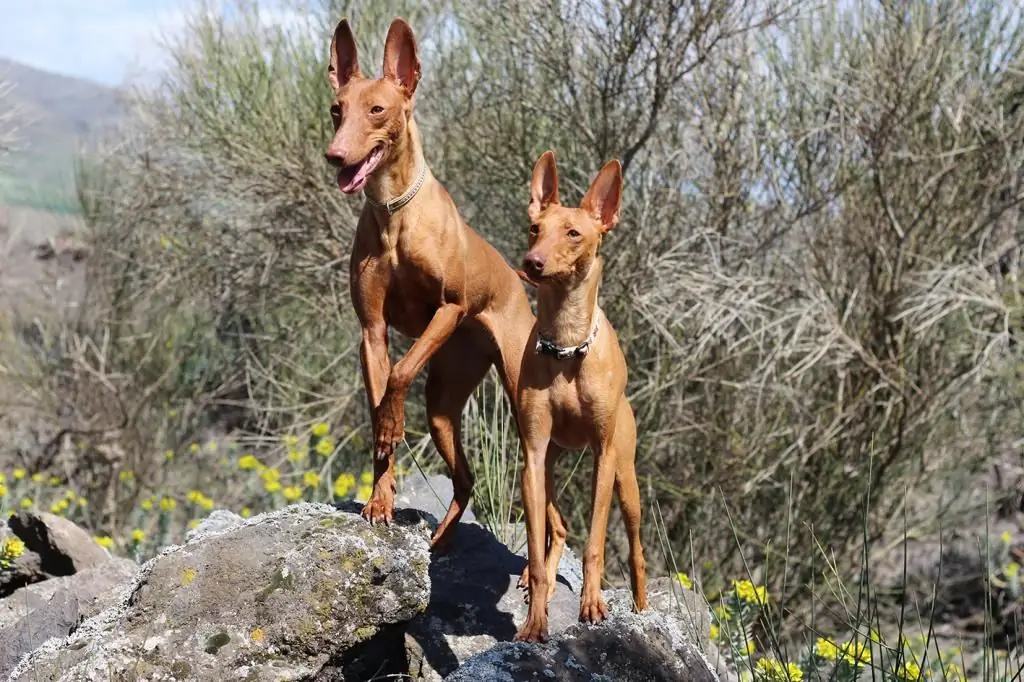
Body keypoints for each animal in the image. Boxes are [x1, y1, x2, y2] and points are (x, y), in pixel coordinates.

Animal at [325, 17, 536, 548]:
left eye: (377, 110)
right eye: (337, 110)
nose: (336, 157)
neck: (394, 212)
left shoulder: (450, 309)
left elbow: (399, 376)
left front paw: (390, 426)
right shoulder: (371, 331)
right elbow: (379, 403)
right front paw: (380, 500)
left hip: (523, 402)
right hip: (443, 403)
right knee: (466, 478)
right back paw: (439, 543)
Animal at [512, 150, 647, 643]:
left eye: (573, 233)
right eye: (535, 228)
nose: (532, 262)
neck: (568, 344)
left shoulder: (603, 455)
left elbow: (594, 544)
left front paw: (592, 604)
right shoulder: (532, 454)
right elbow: (537, 550)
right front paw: (534, 622)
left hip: (627, 480)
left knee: (637, 552)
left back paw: (642, 607)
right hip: (550, 460)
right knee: (558, 526)